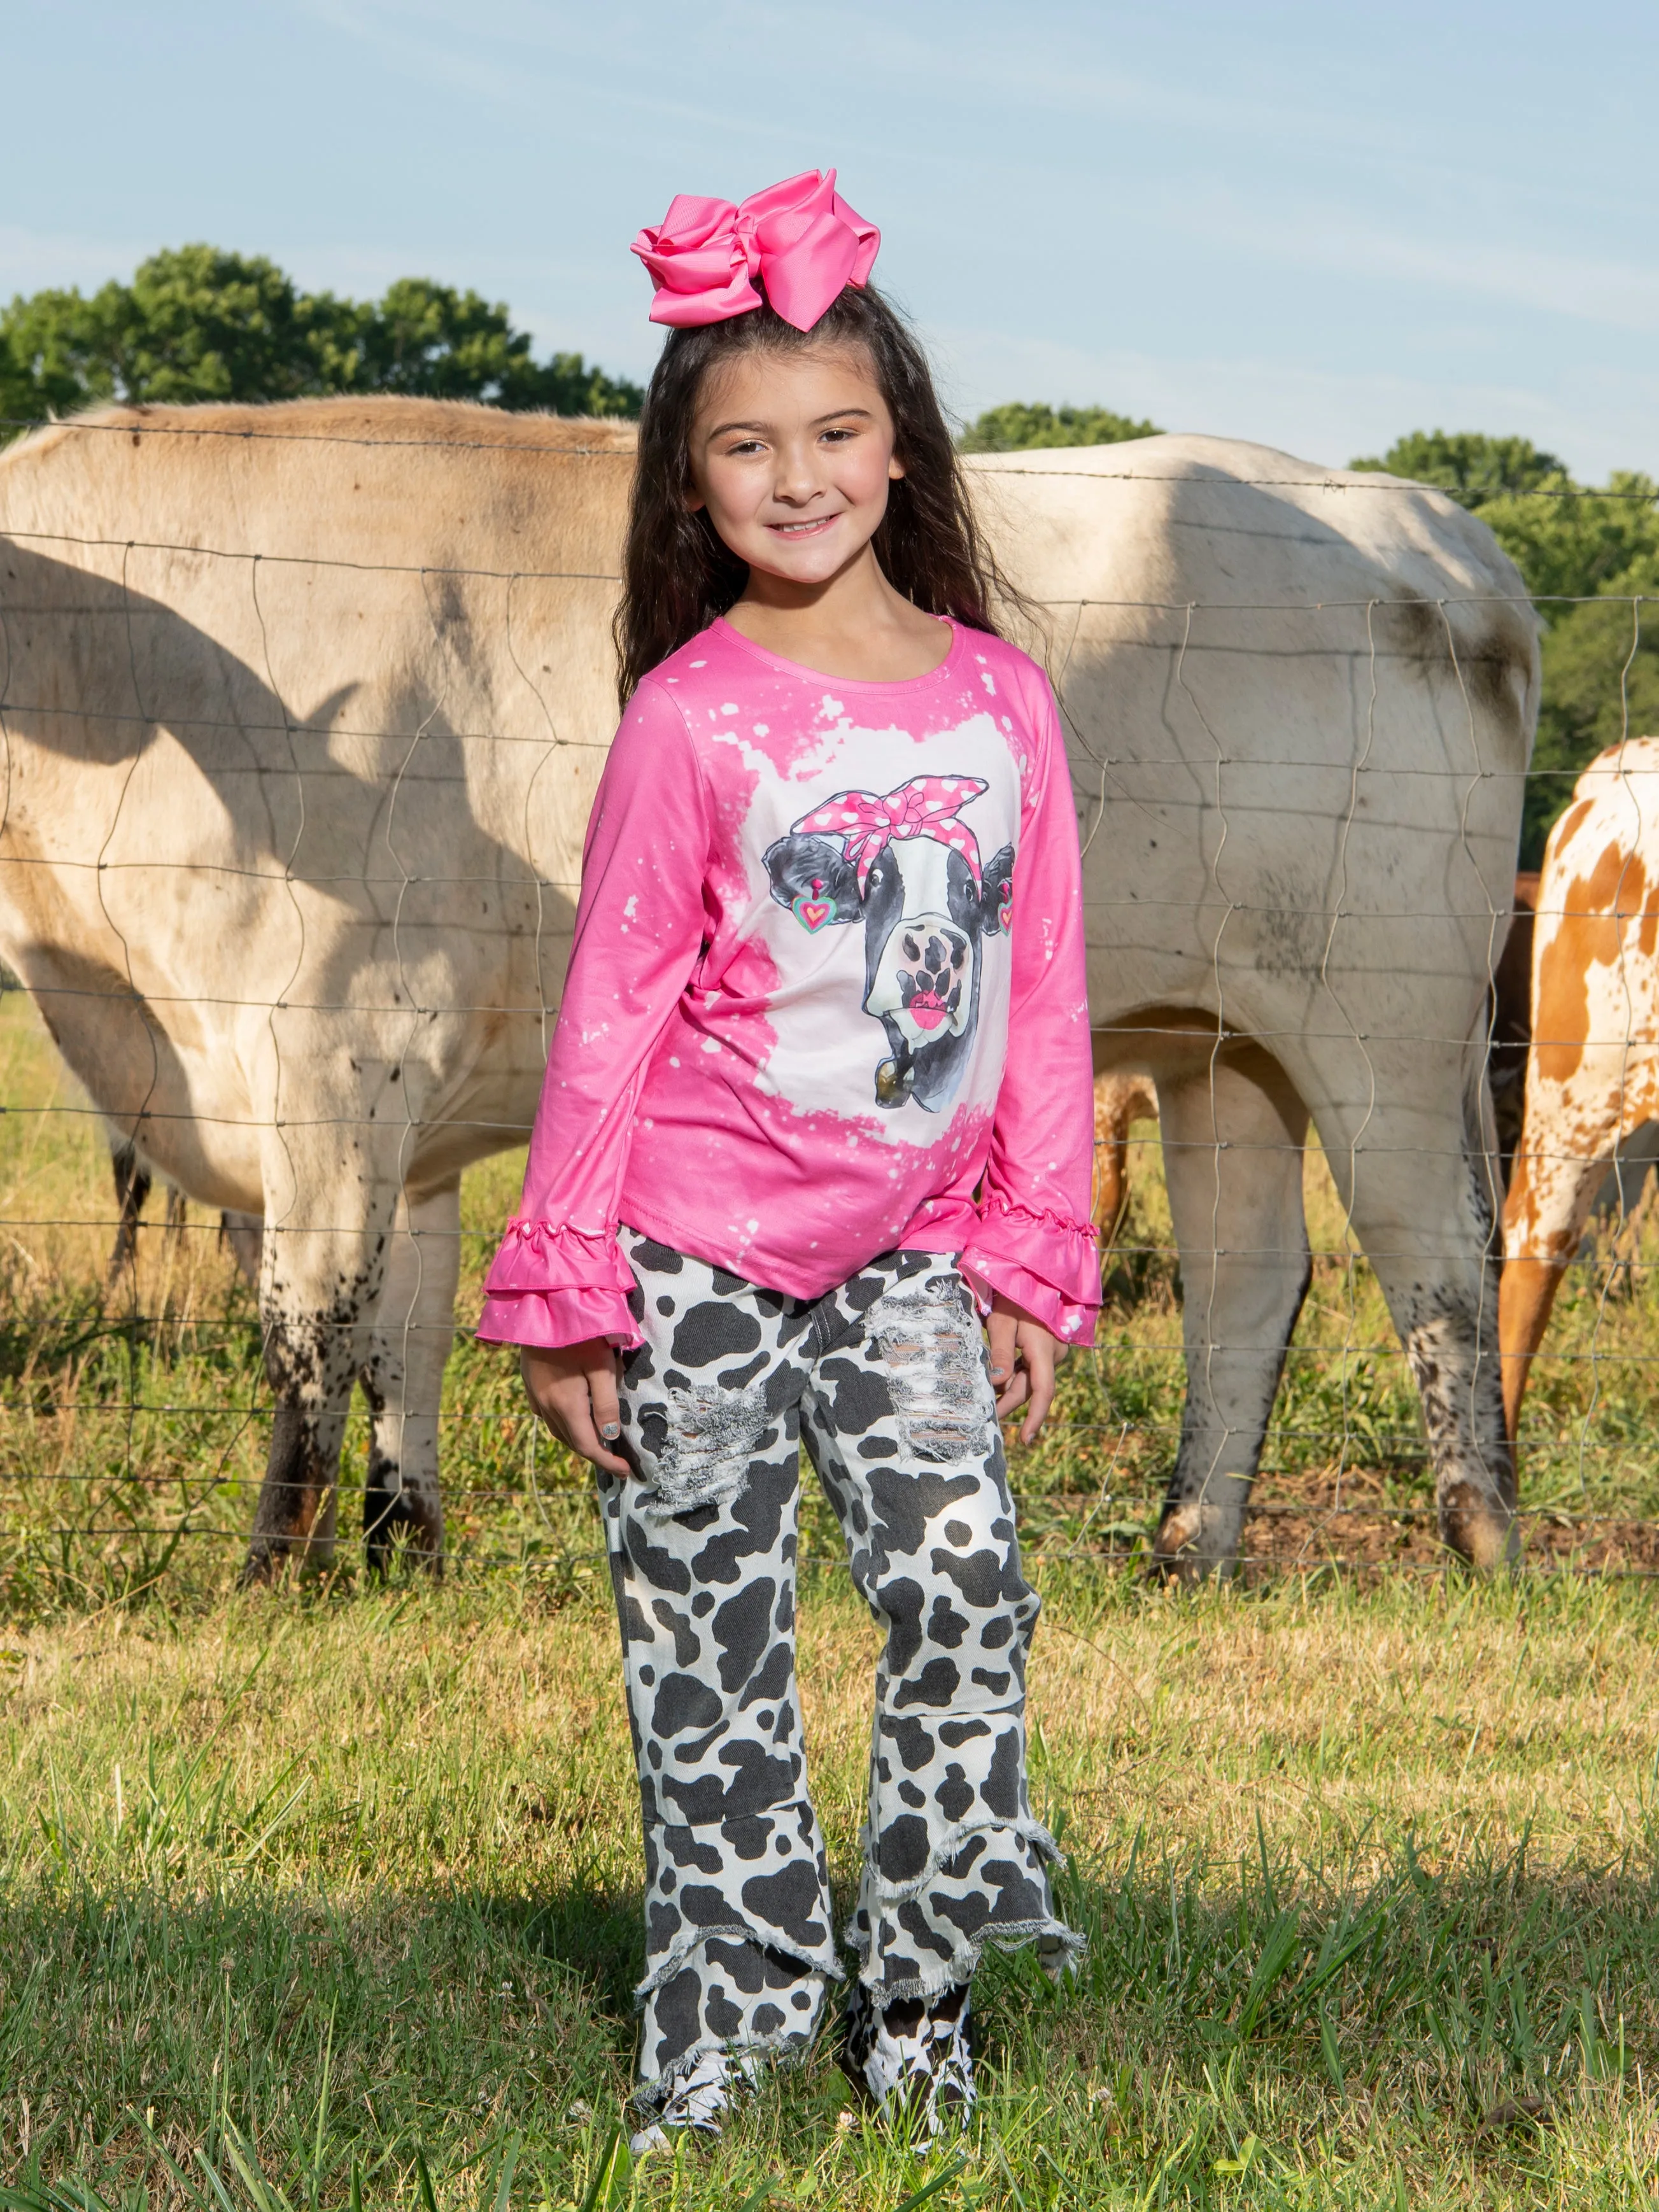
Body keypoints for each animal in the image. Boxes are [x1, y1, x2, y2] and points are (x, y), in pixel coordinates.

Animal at [0, 407, 1539, 1584]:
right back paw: (1187, 1545)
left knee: (1439, 1256)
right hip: (1219, 1039)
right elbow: (408, 1329)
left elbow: (312, 1325)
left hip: (1387, 1016)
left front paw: (270, 1569)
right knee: (1249, 1271)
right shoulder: (385, 1094)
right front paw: (402, 1547)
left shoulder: (331, 1051)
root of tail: (1425, 528)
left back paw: (1482, 1537)